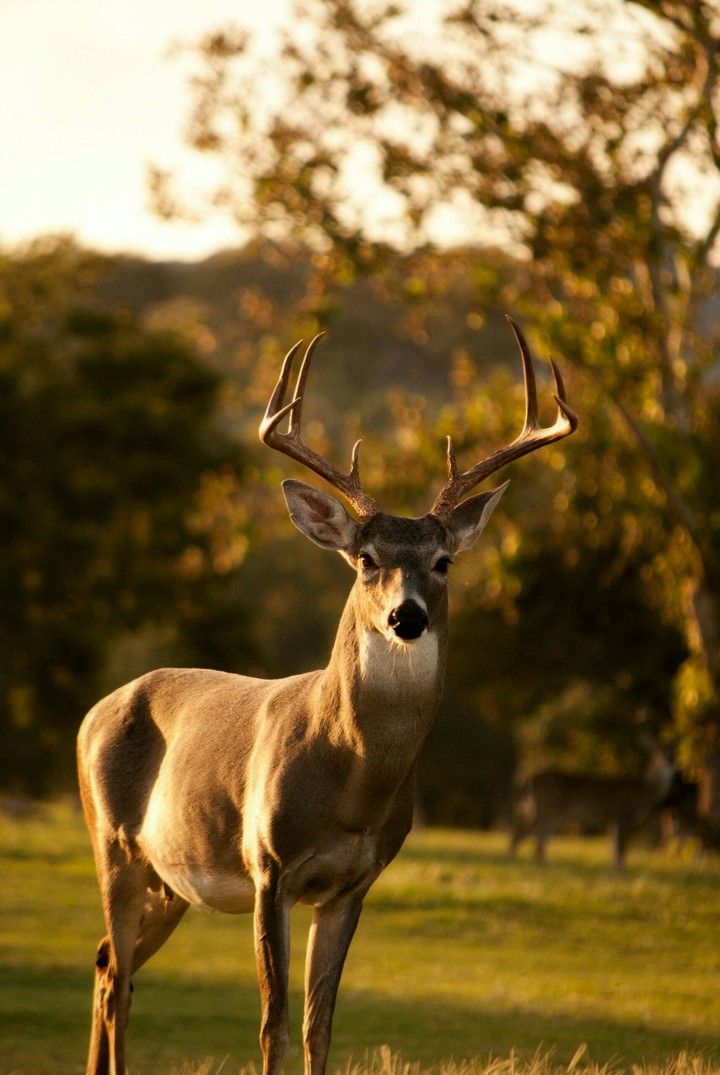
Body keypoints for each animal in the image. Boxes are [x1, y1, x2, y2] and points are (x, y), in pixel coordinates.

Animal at [77, 316, 576, 1075]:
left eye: (443, 561)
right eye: (366, 558)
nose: (407, 616)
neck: (350, 781)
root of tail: (93, 713)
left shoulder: (352, 885)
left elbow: (320, 1025)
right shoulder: (268, 867)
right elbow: (273, 1023)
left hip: (170, 879)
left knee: (108, 964)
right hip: (113, 843)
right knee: (119, 978)